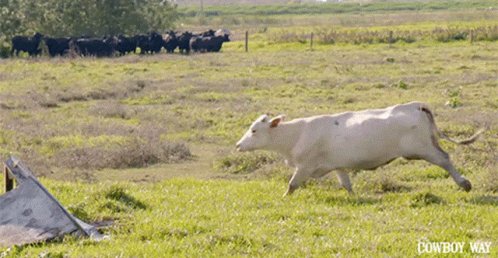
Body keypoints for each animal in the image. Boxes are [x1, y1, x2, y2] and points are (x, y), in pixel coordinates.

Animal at [235, 101, 484, 196]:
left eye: (254, 130)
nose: (238, 145)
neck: (297, 133)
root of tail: (415, 105)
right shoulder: (338, 166)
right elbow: (346, 185)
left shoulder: (304, 166)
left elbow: (292, 184)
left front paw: (285, 197)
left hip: (423, 150)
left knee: (445, 159)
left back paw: (464, 183)